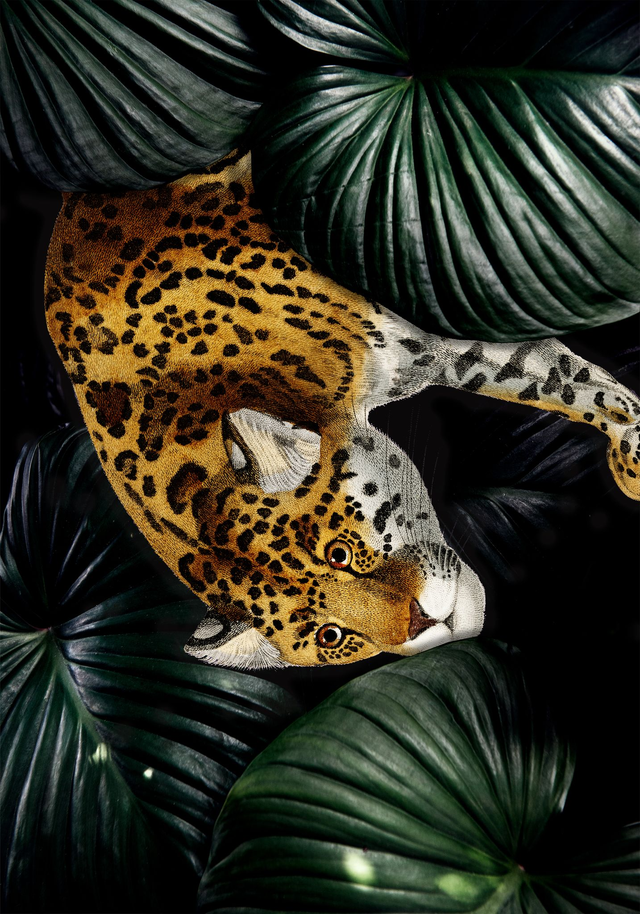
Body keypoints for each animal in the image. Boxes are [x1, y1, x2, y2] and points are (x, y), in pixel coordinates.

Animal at [44, 149, 640, 669]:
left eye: (339, 554)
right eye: (333, 636)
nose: (424, 625)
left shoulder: (433, 319)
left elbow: (563, 377)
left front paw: (632, 462)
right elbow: (559, 378)